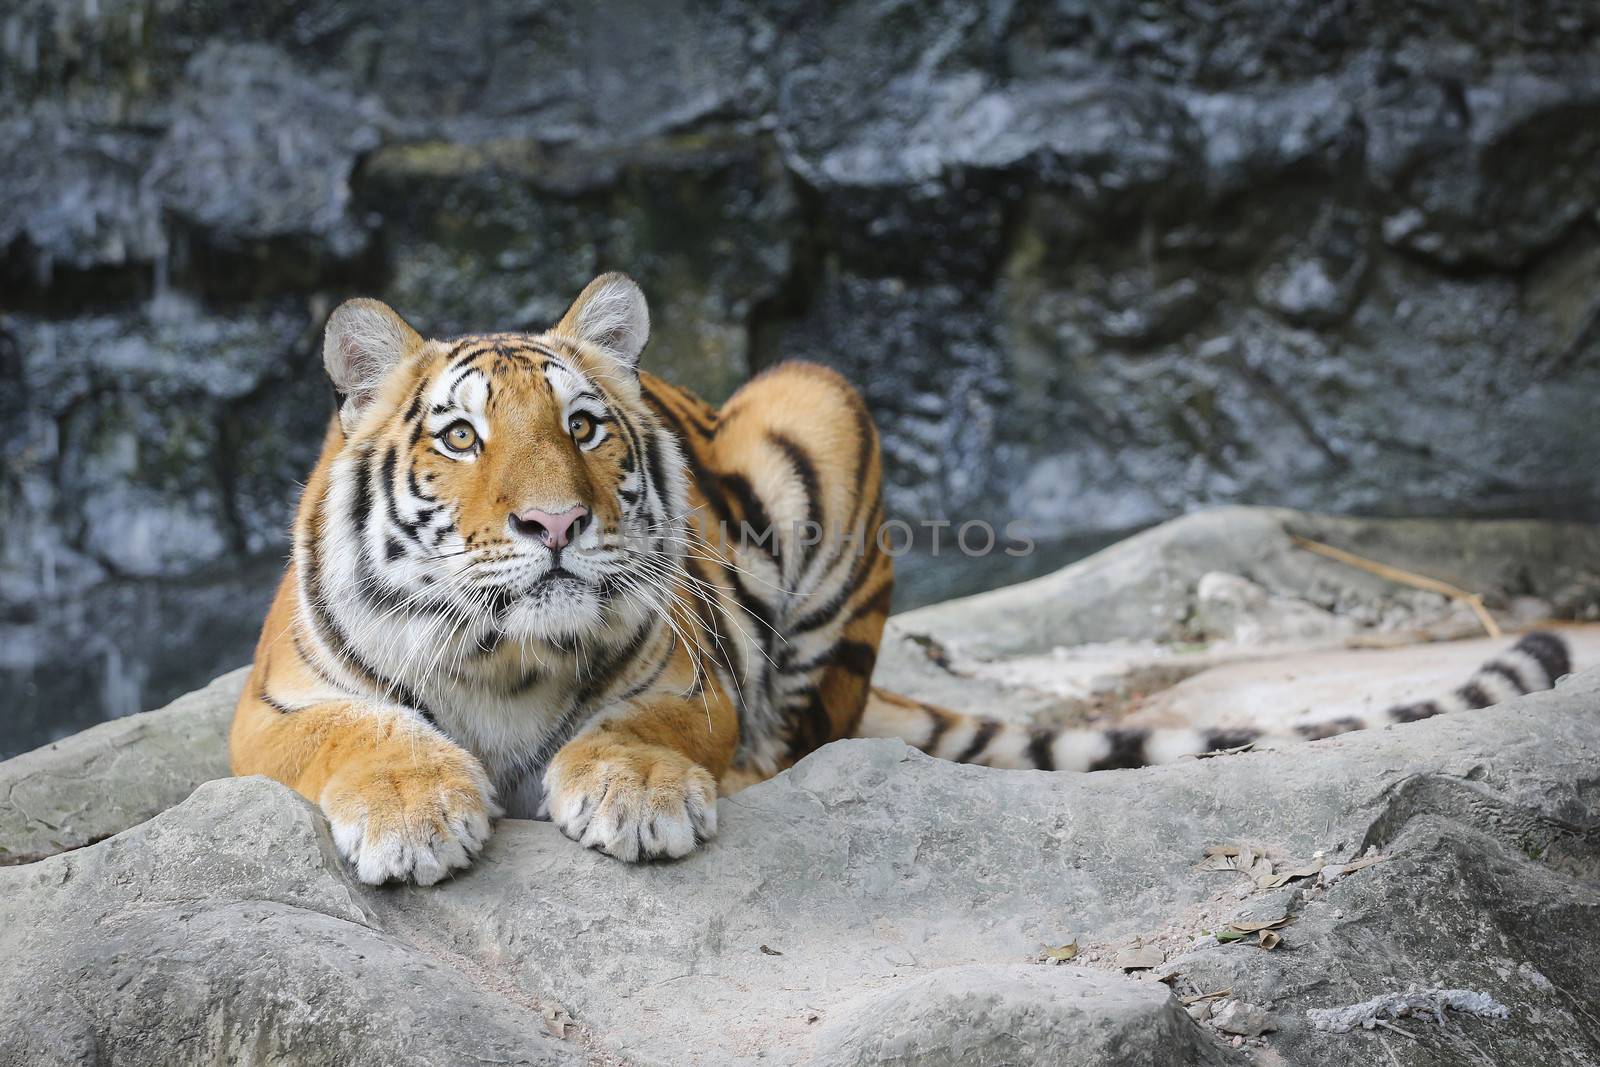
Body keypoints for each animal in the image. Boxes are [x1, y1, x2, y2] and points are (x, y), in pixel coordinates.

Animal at [232, 273, 1580, 883]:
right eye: (461, 436)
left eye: (584, 426)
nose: (558, 520)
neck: (503, 653)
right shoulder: (276, 705)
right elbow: (359, 732)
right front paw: (415, 811)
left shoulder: (690, 677)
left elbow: (646, 726)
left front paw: (635, 796)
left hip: (818, 404)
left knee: (806, 731)